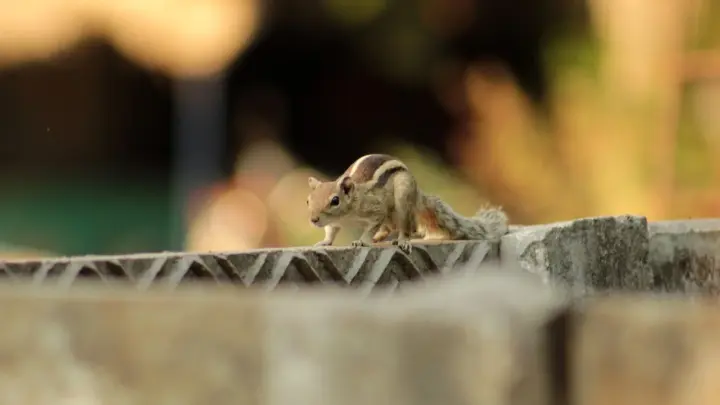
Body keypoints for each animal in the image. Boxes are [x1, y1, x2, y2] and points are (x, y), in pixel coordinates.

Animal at [306, 152, 510, 252]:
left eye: (335, 200)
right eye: (308, 201)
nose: (313, 220)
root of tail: (418, 193)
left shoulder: (376, 210)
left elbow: (371, 225)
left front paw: (362, 242)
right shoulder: (334, 222)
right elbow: (330, 231)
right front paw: (324, 242)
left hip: (402, 199)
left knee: (407, 228)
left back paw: (401, 241)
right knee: (389, 228)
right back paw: (379, 238)